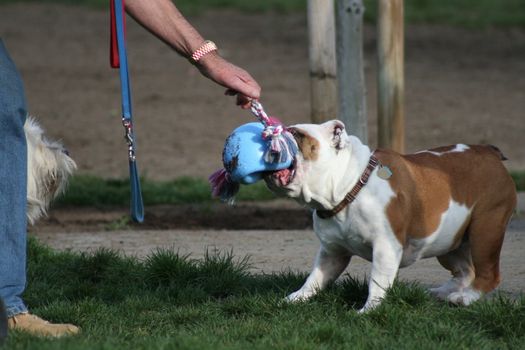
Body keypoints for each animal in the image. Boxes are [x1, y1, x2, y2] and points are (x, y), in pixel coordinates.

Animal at [264, 119, 512, 312]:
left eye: (297, 134)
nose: (271, 132)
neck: (350, 187)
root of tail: (489, 152)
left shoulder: (386, 247)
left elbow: (378, 280)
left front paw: (369, 309)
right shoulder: (332, 252)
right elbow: (315, 278)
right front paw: (295, 298)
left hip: (486, 230)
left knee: (488, 274)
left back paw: (466, 297)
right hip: (449, 240)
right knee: (465, 271)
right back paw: (443, 293)